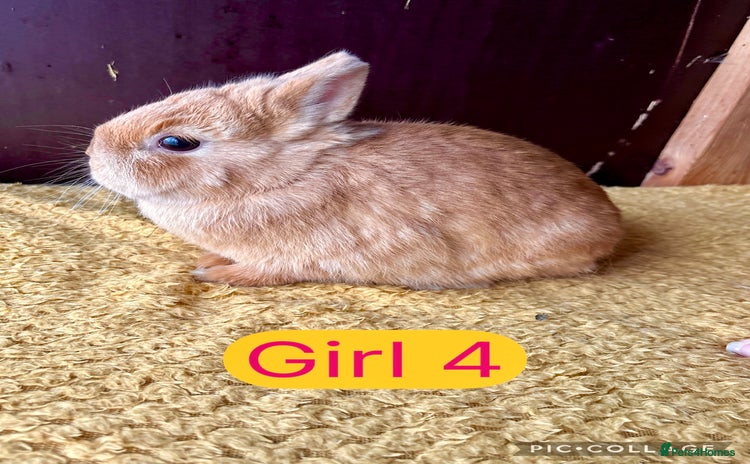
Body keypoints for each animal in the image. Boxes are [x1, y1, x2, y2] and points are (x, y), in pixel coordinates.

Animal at [86, 51, 623, 290]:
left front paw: (212, 271)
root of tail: (612, 222)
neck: (282, 178)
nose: (93, 151)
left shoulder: (299, 259)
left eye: (176, 142)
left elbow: (264, 272)